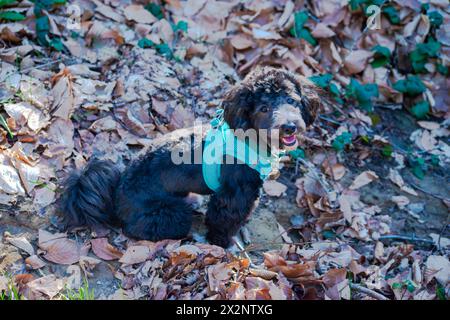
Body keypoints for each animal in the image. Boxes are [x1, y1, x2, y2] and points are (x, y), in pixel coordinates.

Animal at [59, 66, 322, 249]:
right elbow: (222, 221)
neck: (248, 136)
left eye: (291, 100)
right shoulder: (232, 196)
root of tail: (115, 199)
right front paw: (221, 243)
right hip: (168, 215)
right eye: (264, 109)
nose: (289, 127)